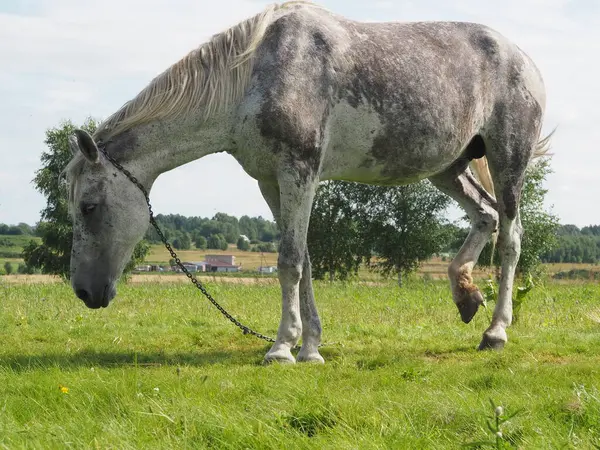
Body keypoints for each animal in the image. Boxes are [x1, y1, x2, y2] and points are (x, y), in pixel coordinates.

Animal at [62, 0, 552, 366]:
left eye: (89, 207)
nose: (84, 292)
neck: (254, 77)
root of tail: (522, 58)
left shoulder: (299, 172)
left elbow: (289, 262)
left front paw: (281, 348)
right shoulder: (272, 181)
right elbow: (305, 262)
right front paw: (311, 346)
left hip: (508, 160)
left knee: (511, 238)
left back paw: (496, 331)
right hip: (449, 167)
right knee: (485, 215)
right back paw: (465, 295)